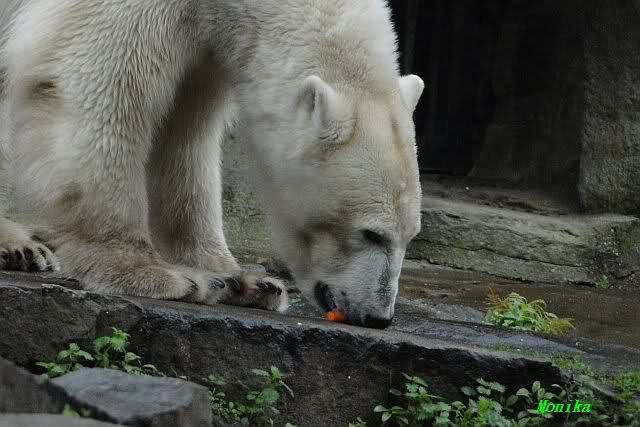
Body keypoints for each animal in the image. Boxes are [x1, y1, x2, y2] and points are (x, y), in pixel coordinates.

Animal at [0, 0, 424, 328]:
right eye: (372, 233)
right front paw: (153, 274)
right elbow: (103, 86)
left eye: (410, 236)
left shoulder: (206, 46)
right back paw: (21, 247)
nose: (379, 317)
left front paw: (241, 280)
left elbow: (186, 133)